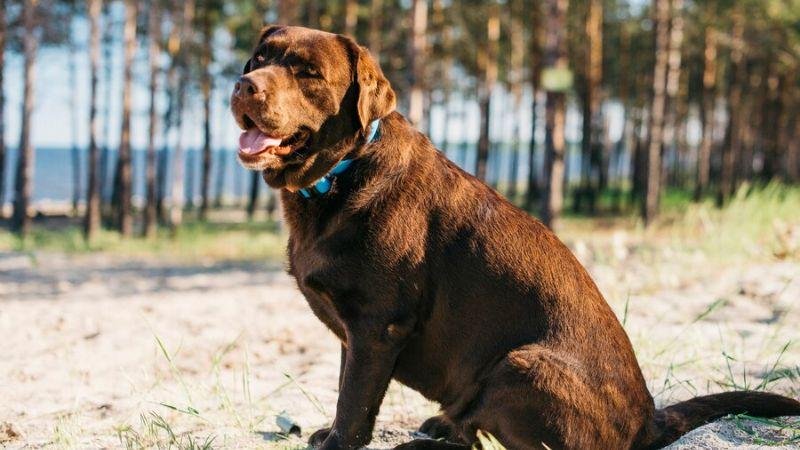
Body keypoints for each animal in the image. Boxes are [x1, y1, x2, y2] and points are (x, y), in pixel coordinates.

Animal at [230, 25, 800, 450]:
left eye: (307, 72)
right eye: (258, 58)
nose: (245, 86)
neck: (339, 174)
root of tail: (648, 420)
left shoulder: (377, 325)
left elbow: (356, 400)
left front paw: (337, 441)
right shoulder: (356, 335)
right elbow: (347, 388)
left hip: (519, 365)